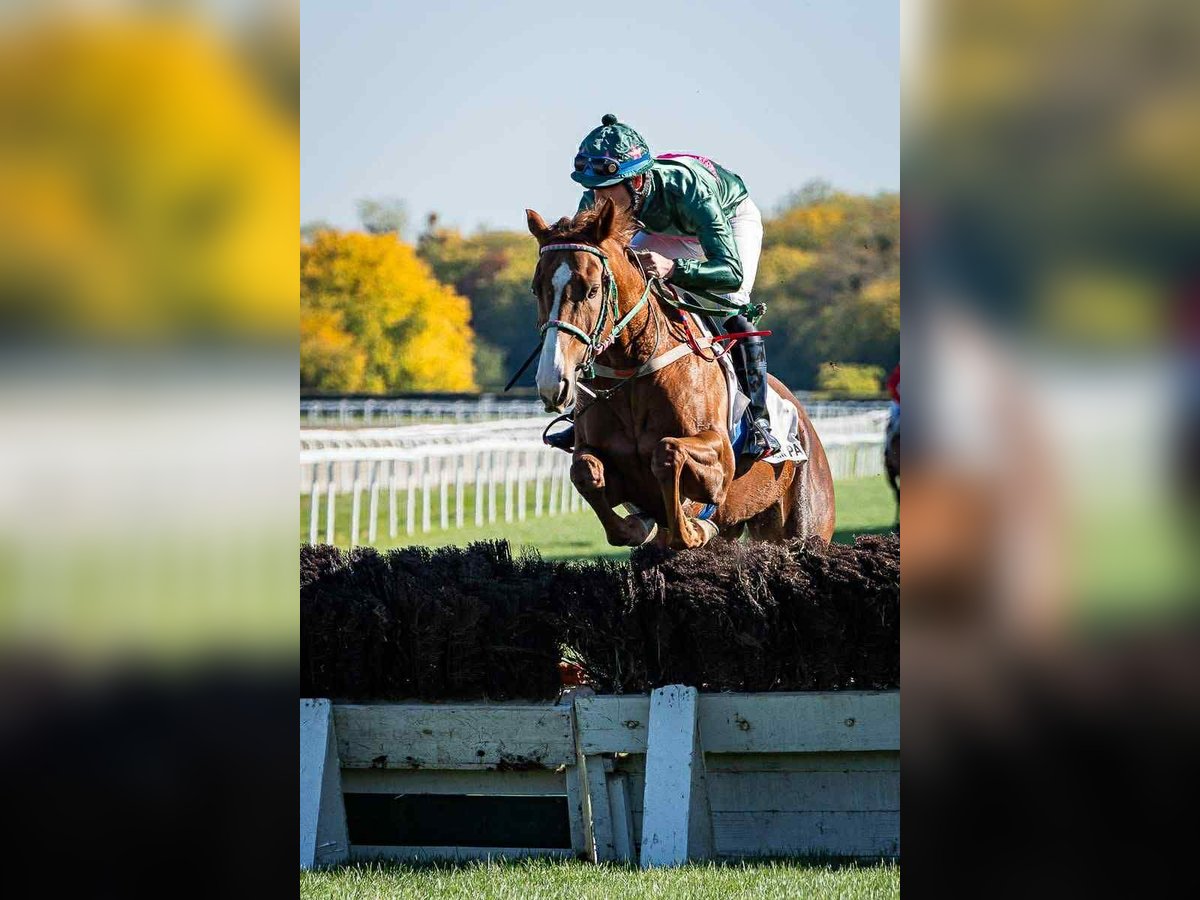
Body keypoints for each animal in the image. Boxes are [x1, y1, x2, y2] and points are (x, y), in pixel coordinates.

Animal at [525, 198, 835, 550]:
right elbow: (584, 472)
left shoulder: (720, 464)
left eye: (591, 291)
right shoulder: (602, 461)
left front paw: (692, 529)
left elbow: (668, 452)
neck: (634, 371)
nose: (553, 381)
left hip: (804, 520)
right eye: (536, 289)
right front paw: (638, 526)